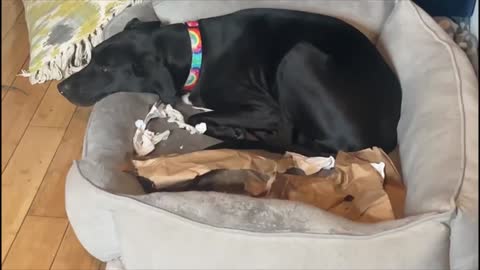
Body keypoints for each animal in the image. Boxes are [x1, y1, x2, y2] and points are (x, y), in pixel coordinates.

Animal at [58, 8, 404, 156]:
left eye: (105, 69)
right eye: (92, 56)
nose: (61, 88)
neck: (194, 51)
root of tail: (383, 139)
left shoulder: (265, 109)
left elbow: (195, 117)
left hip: (298, 57)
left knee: (284, 134)